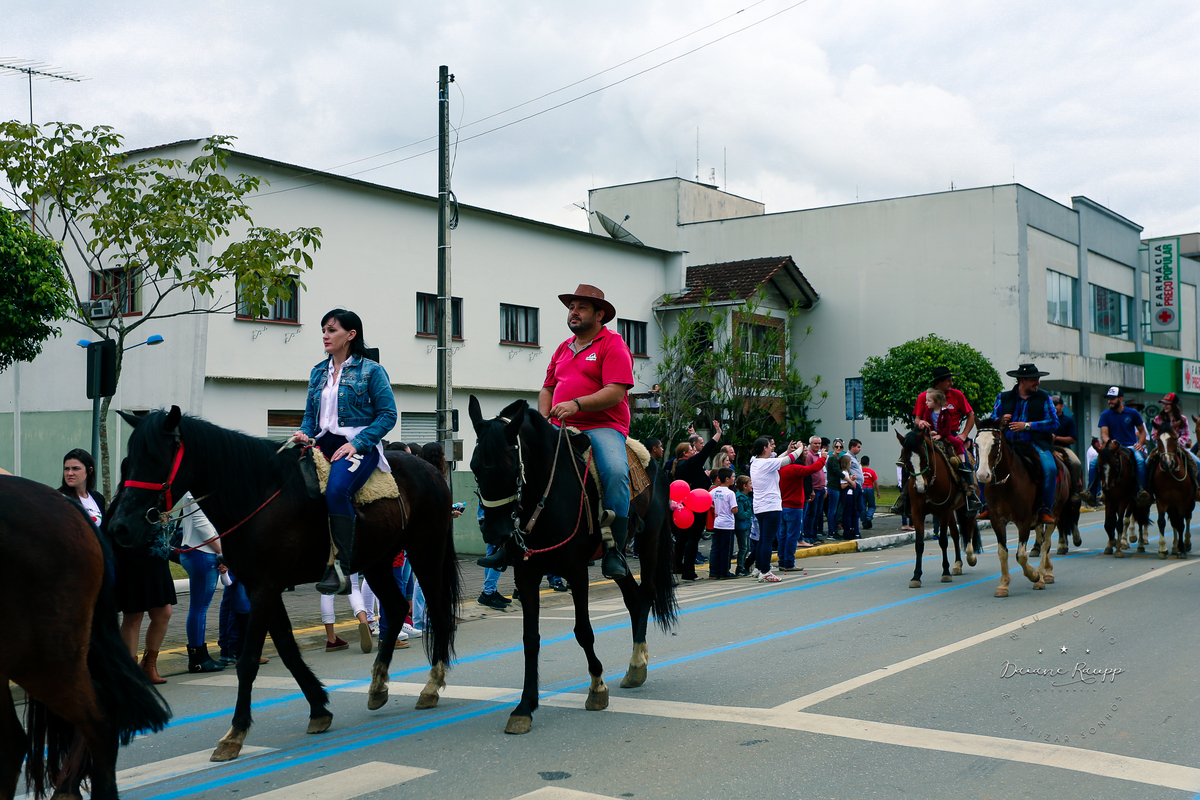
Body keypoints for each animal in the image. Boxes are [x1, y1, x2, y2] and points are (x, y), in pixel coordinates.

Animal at [106, 406, 461, 762]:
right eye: (126, 462)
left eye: (155, 458)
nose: (119, 527)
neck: (255, 494)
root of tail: (432, 471)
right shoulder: (261, 588)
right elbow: (288, 650)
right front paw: (319, 709)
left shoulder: (265, 588)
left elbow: (248, 660)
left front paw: (235, 733)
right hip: (377, 561)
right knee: (398, 607)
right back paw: (378, 687)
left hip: (425, 552)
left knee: (439, 613)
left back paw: (431, 686)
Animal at [468, 396, 677, 735]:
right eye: (474, 468)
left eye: (509, 467)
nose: (494, 532)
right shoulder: (526, 574)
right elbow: (530, 639)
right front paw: (525, 707)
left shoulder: (577, 572)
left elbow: (583, 631)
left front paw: (597, 688)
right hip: (618, 559)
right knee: (634, 598)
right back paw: (637, 664)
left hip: (650, 542)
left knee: (645, 594)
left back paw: (636, 665)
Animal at [895, 428, 977, 588]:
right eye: (906, 460)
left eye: (924, 458)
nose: (920, 487)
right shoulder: (917, 513)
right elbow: (919, 544)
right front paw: (916, 576)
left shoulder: (943, 511)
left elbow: (943, 541)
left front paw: (945, 572)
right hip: (951, 511)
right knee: (956, 534)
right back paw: (957, 564)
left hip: (964, 508)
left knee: (969, 528)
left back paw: (970, 556)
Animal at [974, 419, 1078, 597]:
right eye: (976, 444)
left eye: (995, 443)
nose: (982, 475)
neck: (1006, 483)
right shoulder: (997, 520)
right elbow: (1002, 552)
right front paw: (1003, 585)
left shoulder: (1024, 520)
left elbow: (1021, 555)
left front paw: (1034, 575)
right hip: (1037, 518)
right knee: (1042, 538)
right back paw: (1048, 572)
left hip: (1054, 513)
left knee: (1046, 543)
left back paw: (1042, 577)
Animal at [1148, 418, 1195, 559]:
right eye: (1158, 439)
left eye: (1175, 439)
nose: (1167, 462)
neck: (1170, 475)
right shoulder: (1161, 500)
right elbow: (1162, 521)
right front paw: (1163, 549)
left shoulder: (1182, 501)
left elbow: (1181, 524)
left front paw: (1182, 550)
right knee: (1173, 520)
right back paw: (1175, 546)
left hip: (1188, 503)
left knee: (1187, 518)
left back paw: (1186, 543)